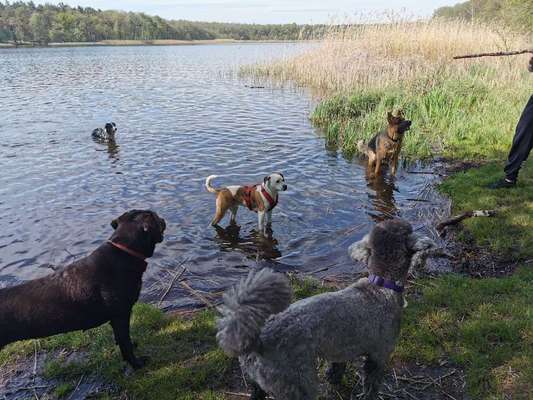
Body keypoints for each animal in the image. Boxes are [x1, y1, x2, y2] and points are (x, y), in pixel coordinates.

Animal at [0, 209, 165, 368]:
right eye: (155, 216)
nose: (163, 218)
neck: (123, 253)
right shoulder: (120, 316)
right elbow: (125, 344)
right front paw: (136, 364)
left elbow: (122, 340)